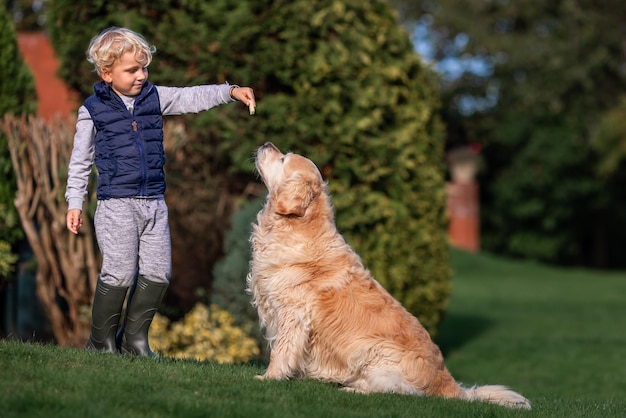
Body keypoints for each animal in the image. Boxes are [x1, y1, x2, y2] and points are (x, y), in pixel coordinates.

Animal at [246, 142, 528, 410]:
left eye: (284, 159)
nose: (266, 143)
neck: (296, 227)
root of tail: (450, 385)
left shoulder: (293, 314)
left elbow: (281, 350)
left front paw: (268, 378)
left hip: (374, 350)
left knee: (398, 390)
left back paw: (352, 389)